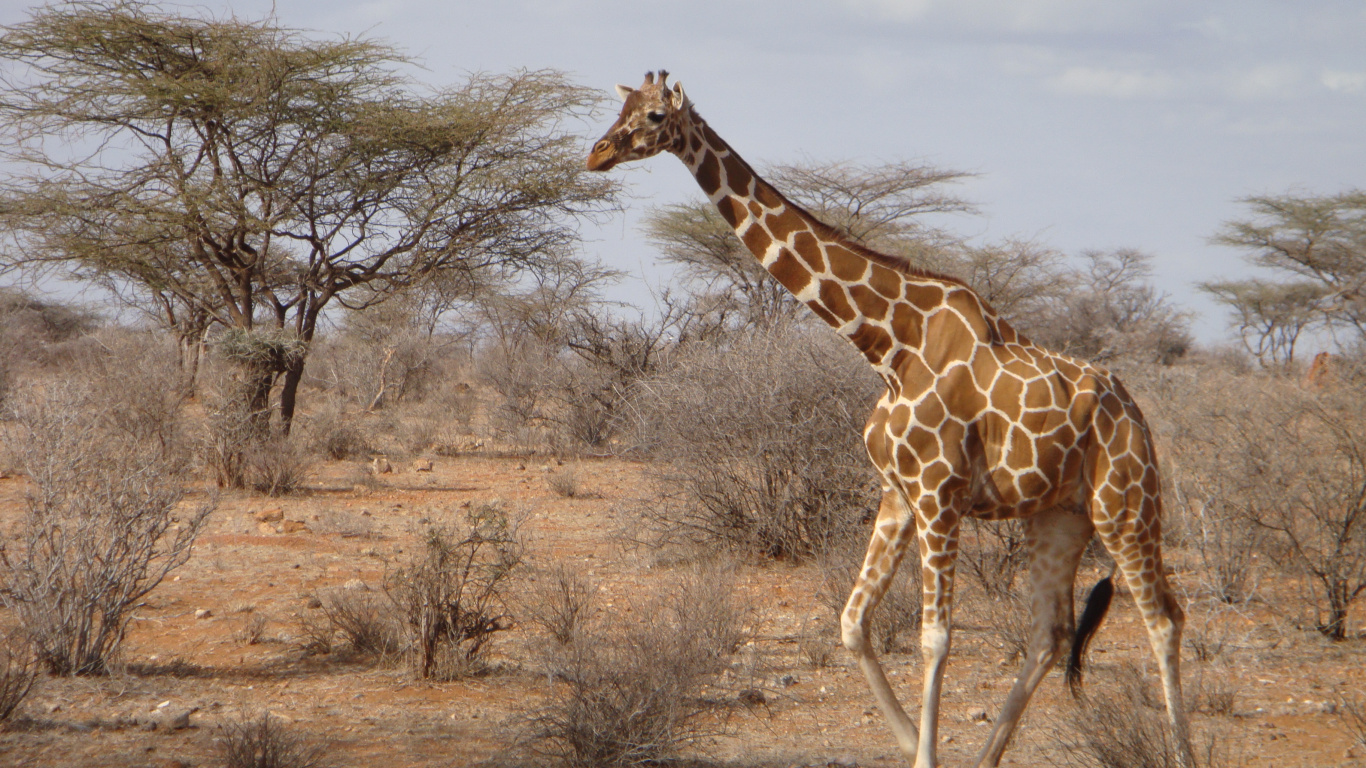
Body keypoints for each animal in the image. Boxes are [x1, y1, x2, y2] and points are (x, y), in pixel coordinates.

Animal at [587, 71, 1192, 768]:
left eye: (655, 116)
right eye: (622, 108)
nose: (597, 153)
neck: (888, 344)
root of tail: (1136, 413)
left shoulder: (938, 496)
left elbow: (935, 639)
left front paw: (925, 750)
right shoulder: (897, 492)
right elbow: (853, 622)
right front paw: (910, 744)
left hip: (1125, 506)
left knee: (1164, 620)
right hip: (1059, 516)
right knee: (1051, 633)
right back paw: (988, 757)